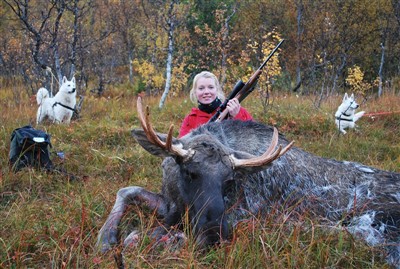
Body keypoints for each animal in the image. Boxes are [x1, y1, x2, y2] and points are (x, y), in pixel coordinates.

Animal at [99, 97, 400, 266]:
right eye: (189, 172)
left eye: (229, 181)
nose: (215, 233)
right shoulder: (170, 204)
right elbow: (127, 190)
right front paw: (106, 238)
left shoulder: (243, 214)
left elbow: (141, 236)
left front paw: (151, 239)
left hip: (375, 220)